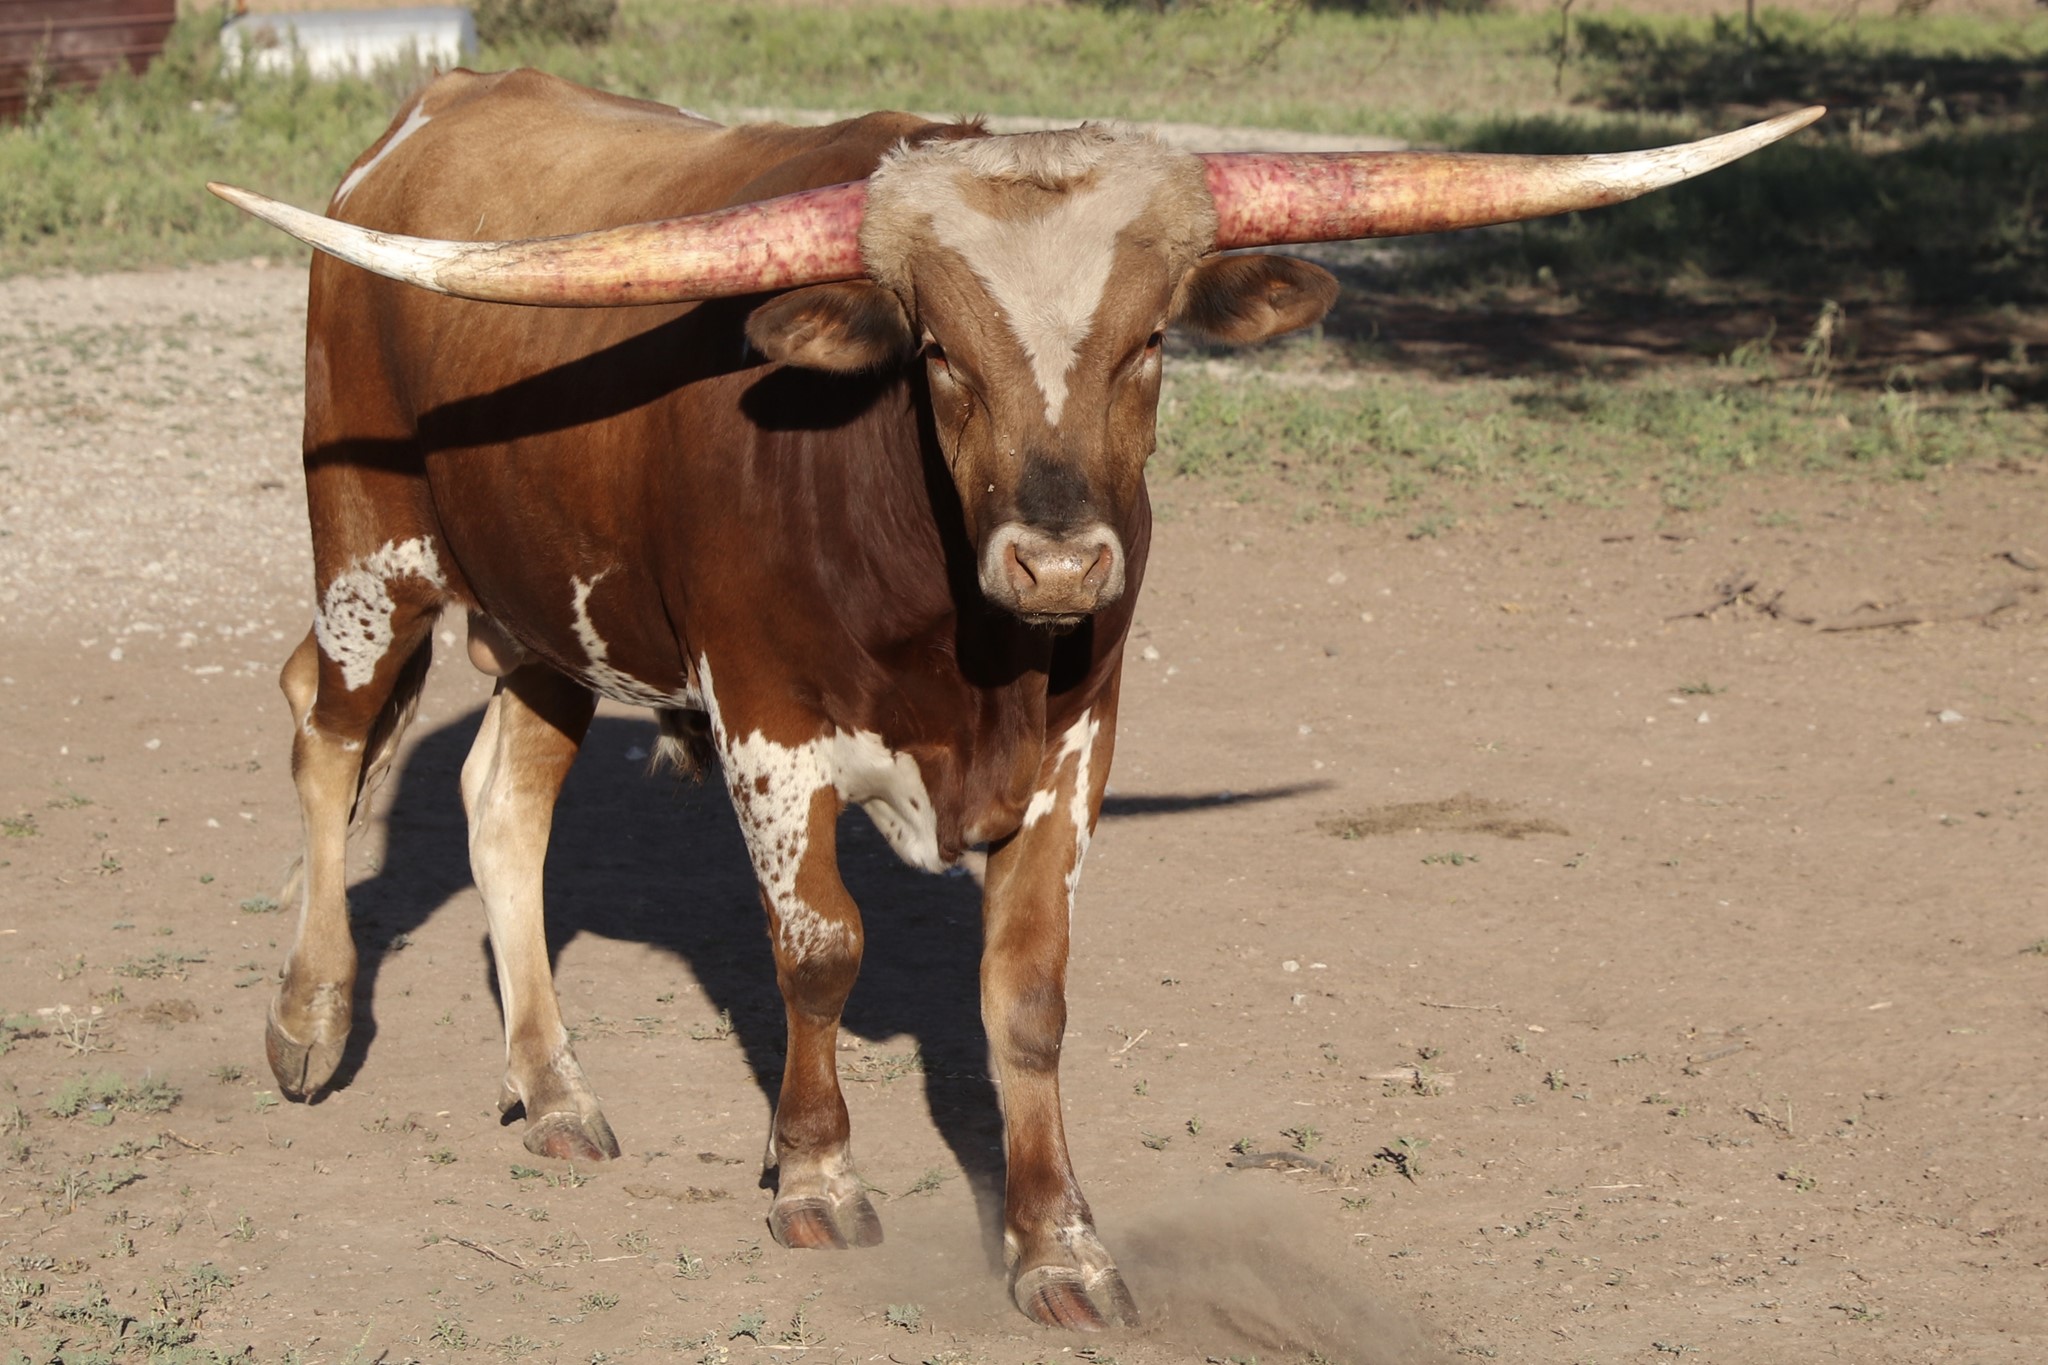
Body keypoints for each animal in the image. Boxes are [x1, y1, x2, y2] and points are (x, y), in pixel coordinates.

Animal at [211, 71, 1818, 1329]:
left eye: (1152, 341)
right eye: (936, 353)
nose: (1056, 561)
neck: (958, 636)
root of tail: (433, 112)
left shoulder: (1075, 749)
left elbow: (1028, 998)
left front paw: (1060, 1247)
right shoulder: (768, 730)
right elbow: (822, 953)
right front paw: (815, 1173)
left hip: (552, 612)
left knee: (501, 797)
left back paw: (551, 1090)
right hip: (371, 554)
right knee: (323, 736)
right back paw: (307, 1021)